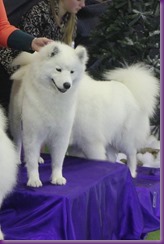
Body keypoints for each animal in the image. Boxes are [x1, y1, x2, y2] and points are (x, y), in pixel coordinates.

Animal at [8, 41, 88, 187]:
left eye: (72, 72)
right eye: (58, 69)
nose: (67, 85)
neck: (53, 98)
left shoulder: (61, 135)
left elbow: (58, 161)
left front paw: (57, 177)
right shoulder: (33, 132)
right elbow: (32, 160)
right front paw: (34, 179)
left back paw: (39, 158)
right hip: (16, 121)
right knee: (18, 141)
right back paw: (17, 158)